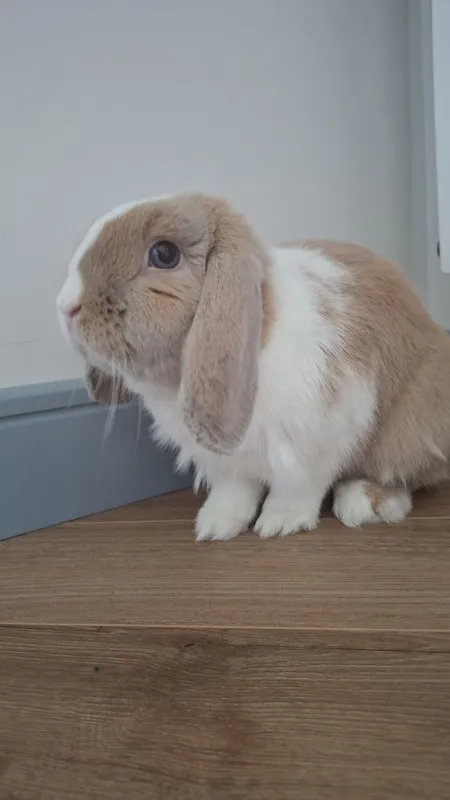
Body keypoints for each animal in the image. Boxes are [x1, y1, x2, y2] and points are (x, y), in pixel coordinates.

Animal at [57, 192, 450, 541]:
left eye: (164, 254)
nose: (66, 307)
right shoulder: (231, 460)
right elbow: (235, 490)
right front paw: (215, 525)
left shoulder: (320, 438)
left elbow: (299, 487)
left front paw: (278, 523)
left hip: (410, 426)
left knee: (408, 471)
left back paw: (365, 502)